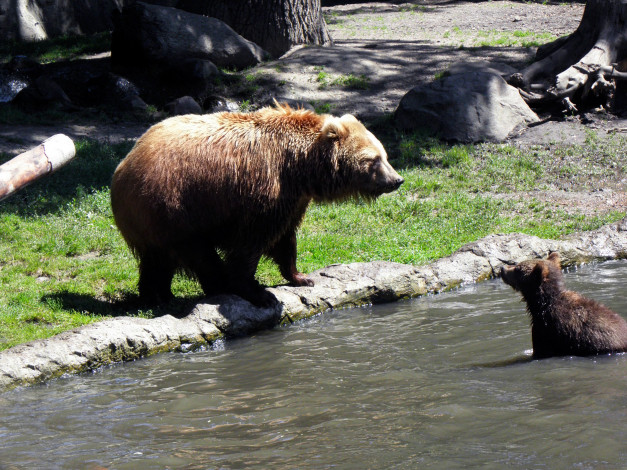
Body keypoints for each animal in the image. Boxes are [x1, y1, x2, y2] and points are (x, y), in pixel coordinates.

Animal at [110, 104, 404, 306]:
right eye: (373, 159)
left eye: (385, 155)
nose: (397, 180)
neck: (301, 167)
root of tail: (123, 168)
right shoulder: (263, 190)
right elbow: (252, 241)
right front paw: (259, 293)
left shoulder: (293, 198)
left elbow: (285, 239)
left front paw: (301, 277)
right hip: (175, 205)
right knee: (198, 253)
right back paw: (215, 285)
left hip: (151, 218)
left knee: (157, 259)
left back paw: (157, 295)